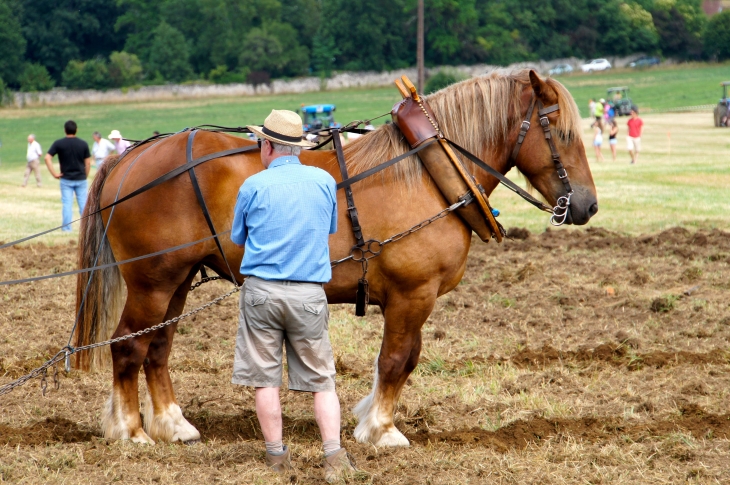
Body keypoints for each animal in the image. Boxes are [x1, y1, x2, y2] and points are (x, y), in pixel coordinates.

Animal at [75, 70, 596, 444]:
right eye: (562, 132)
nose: (588, 205)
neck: (427, 173)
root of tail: (130, 156)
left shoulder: (413, 300)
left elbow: (404, 359)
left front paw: (370, 419)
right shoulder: (413, 295)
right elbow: (397, 360)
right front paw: (381, 430)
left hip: (178, 280)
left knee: (157, 346)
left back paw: (171, 423)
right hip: (152, 281)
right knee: (127, 346)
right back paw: (131, 431)